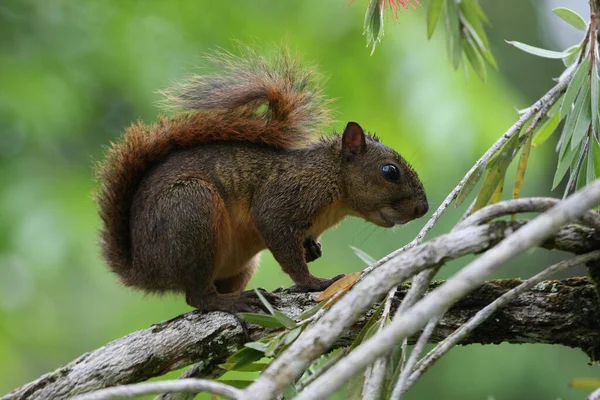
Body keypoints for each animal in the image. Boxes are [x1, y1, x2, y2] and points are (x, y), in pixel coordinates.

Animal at [95, 47, 426, 312]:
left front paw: (312, 249)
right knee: (197, 296)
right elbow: (277, 233)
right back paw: (233, 301)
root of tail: (143, 268)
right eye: (390, 172)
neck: (332, 183)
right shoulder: (285, 196)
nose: (422, 208)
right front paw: (312, 282)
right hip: (192, 211)